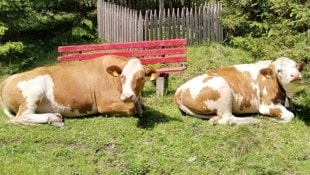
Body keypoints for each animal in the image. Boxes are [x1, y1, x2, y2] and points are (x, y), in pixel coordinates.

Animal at [0, 55, 159, 128]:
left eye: (141, 78)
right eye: (122, 76)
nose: (127, 96)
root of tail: (8, 79)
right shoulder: (104, 104)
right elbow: (131, 109)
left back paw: (55, 119)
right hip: (32, 94)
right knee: (22, 117)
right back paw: (53, 118)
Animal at [174, 56, 302, 125]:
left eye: (296, 66)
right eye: (279, 70)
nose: (295, 75)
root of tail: (179, 90)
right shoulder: (266, 105)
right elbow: (290, 115)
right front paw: (270, 118)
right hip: (222, 87)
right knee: (228, 119)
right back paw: (252, 120)